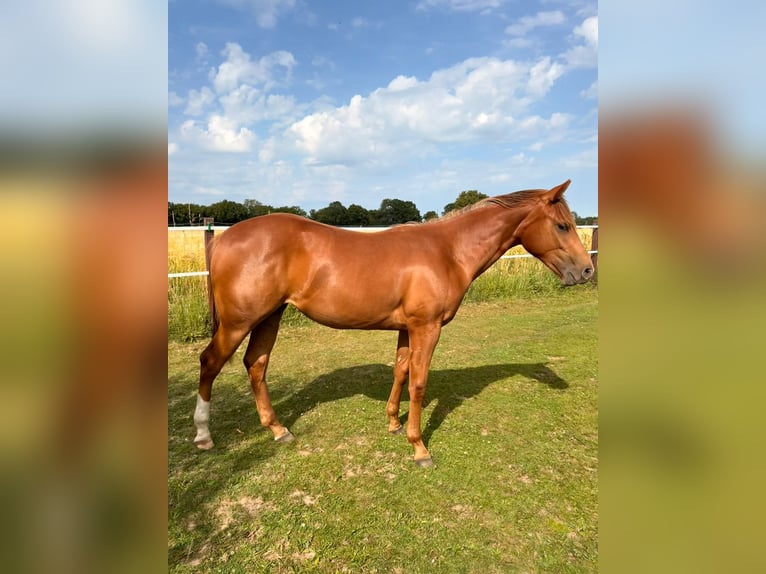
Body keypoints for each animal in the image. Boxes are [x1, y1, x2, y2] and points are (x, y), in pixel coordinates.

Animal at [193, 180, 593, 466]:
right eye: (561, 225)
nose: (587, 270)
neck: (448, 250)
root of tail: (224, 237)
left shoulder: (406, 328)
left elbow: (400, 372)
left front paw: (394, 424)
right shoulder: (426, 327)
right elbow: (418, 382)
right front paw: (420, 449)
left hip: (268, 317)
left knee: (256, 365)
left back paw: (278, 430)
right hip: (239, 322)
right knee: (210, 363)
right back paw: (203, 436)